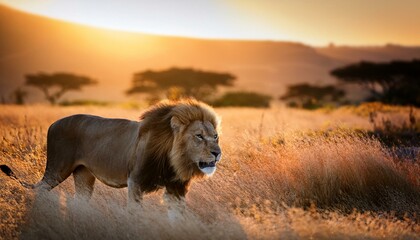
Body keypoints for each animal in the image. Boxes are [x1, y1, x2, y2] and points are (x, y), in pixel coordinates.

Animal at [0, 98, 221, 211]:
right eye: (199, 136)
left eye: (215, 136)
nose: (217, 153)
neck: (172, 159)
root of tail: (53, 123)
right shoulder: (135, 182)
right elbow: (135, 215)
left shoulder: (177, 189)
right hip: (57, 168)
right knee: (41, 190)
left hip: (84, 175)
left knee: (79, 202)